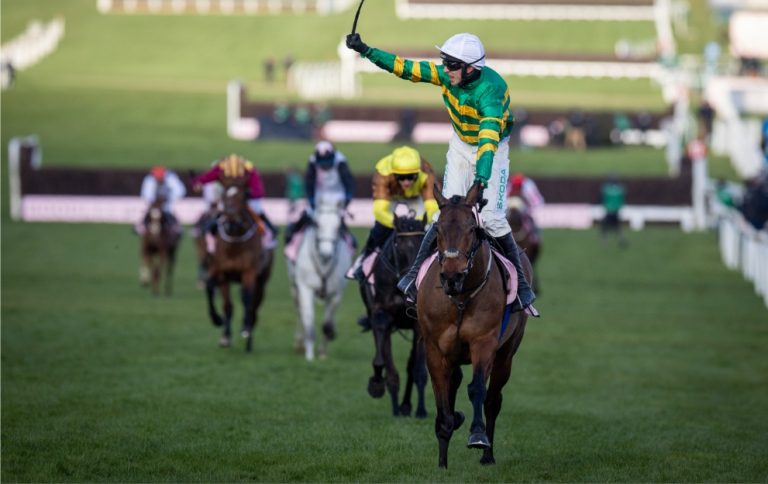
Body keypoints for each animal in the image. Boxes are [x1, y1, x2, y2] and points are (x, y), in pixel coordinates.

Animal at [206, 178, 274, 352]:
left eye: (244, 197)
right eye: (223, 196)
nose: (231, 221)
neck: (234, 244)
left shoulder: (249, 272)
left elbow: (247, 300)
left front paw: (247, 336)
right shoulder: (221, 272)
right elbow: (222, 300)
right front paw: (220, 326)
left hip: (262, 280)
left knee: (254, 304)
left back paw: (247, 328)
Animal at [416, 182, 532, 468]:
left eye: (471, 229)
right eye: (438, 229)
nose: (452, 275)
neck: (460, 298)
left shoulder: (484, 342)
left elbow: (477, 388)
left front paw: (478, 435)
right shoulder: (434, 348)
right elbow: (442, 394)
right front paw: (442, 459)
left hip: (506, 353)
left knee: (493, 399)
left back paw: (488, 455)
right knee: (454, 383)